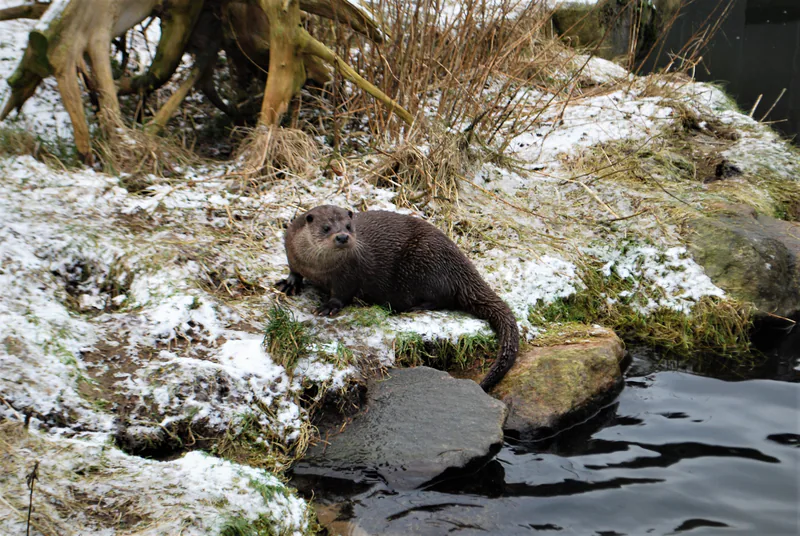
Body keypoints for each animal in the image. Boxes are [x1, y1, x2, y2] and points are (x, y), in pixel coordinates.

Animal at [276, 205, 519, 391]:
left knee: (443, 297)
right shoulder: (291, 248)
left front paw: (327, 306)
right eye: (326, 227)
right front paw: (289, 283)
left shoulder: (348, 274)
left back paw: (413, 307)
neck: (317, 268)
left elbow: (342, 294)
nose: (343, 236)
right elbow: (293, 269)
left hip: (426, 263)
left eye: (348, 227)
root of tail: (461, 261)